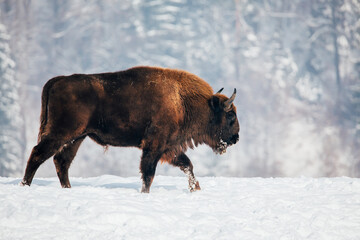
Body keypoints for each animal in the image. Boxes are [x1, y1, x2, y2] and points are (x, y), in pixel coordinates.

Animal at [20, 66, 239, 193]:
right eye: (230, 116)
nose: (236, 138)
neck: (182, 100)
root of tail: (57, 80)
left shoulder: (169, 148)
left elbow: (187, 164)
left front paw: (196, 189)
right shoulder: (155, 145)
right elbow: (148, 172)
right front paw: (145, 193)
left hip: (77, 137)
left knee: (61, 161)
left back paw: (68, 189)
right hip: (62, 133)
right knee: (39, 153)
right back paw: (25, 186)